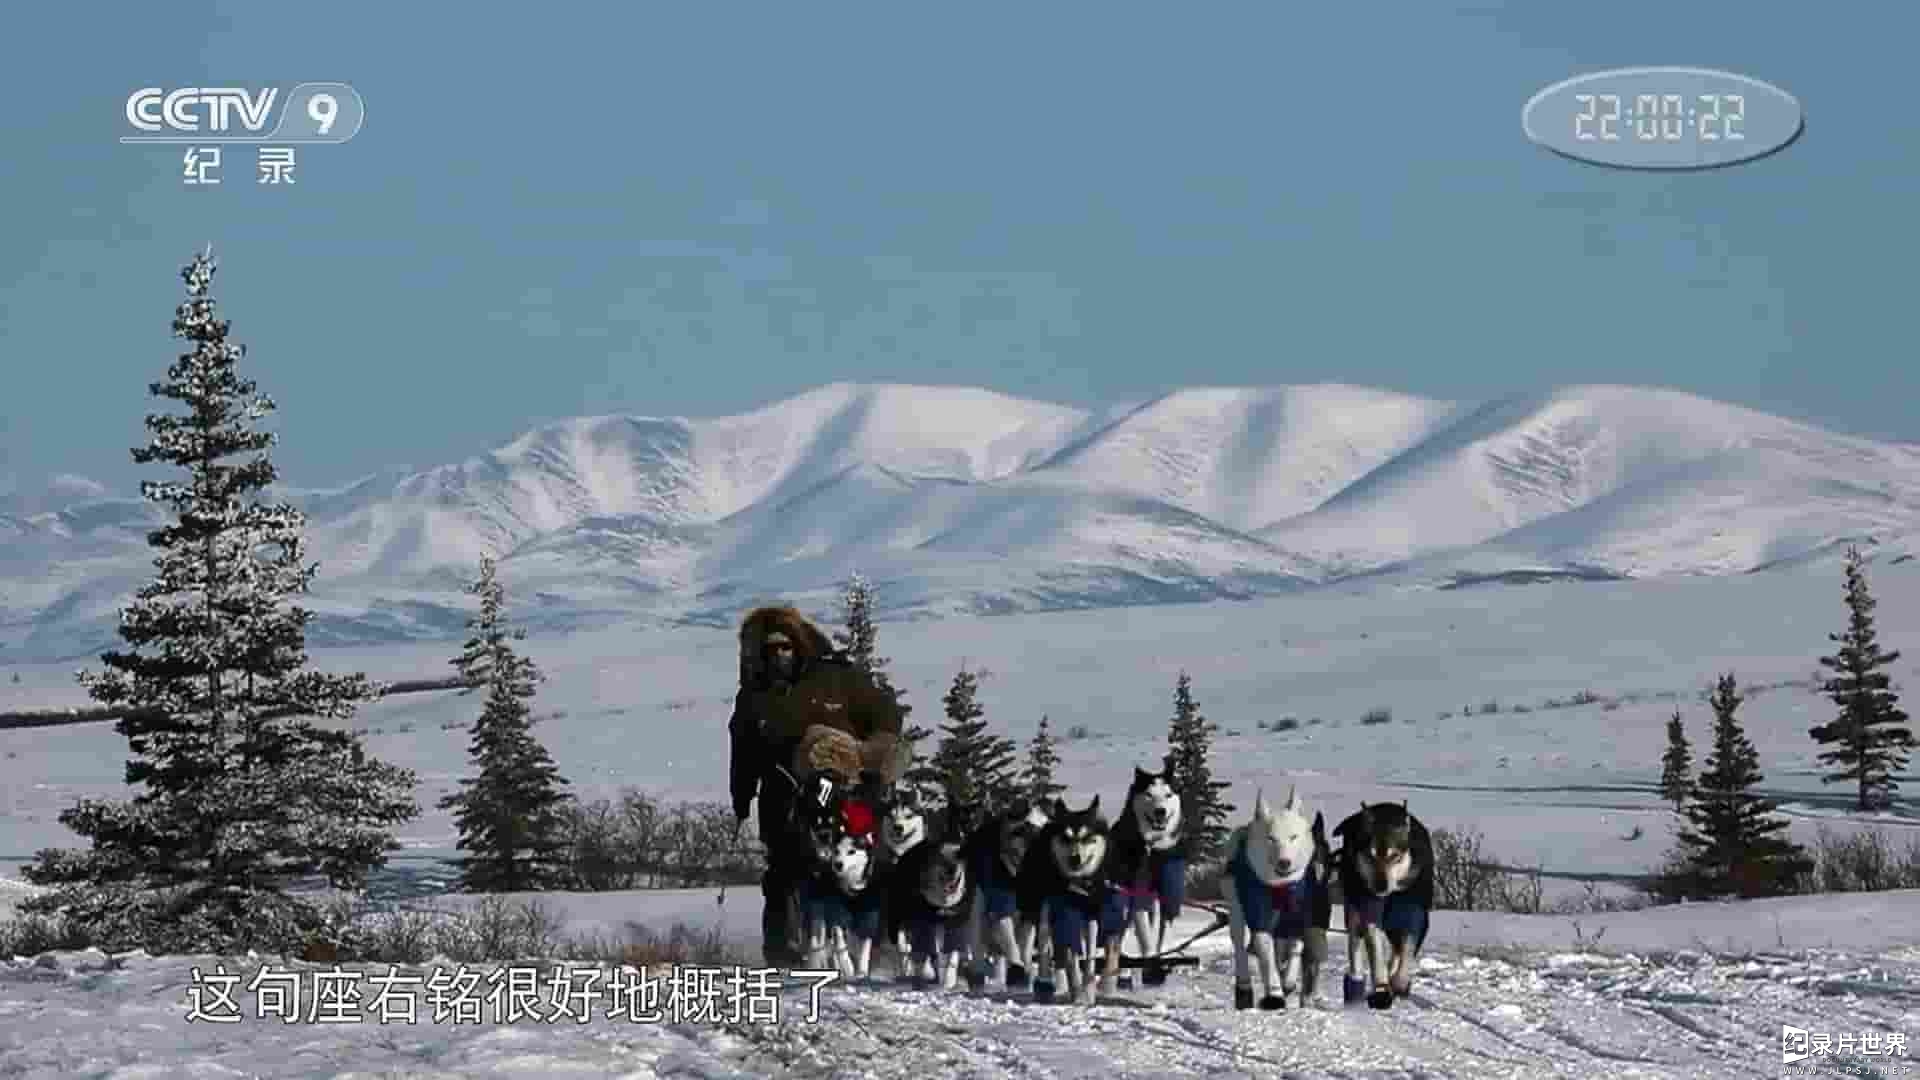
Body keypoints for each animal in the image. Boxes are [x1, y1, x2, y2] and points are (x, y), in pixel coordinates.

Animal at [887, 837, 975, 991]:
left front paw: (949, 980)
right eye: (940, 857)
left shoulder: (956, 922)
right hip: (896, 918)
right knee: (903, 946)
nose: (951, 870)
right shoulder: (923, 922)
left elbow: (952, 952)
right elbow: (924, 949)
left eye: (959, 856)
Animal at [960, 799, 1052, 983]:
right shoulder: (998, 900)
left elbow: (1024, 942)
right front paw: (1017, 968)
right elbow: (1009, 939)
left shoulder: (1031, 909)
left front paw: (1024, 968)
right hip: (978, 910)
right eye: (1024, 831)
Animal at [1013, 791, 1121, 999]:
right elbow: (1070, 956)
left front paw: (1087, 992)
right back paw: (1047, 982)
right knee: (1045, 943)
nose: (1075, 858)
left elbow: (1089, 956)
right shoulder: (1065, 914)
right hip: (1040, 908)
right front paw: (1077, 990)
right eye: (1065, 837)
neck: (1077, 885)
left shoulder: (1091, 914)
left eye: (1087, 837)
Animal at [1221, 787, 1328, 1006]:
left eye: (1293, 837)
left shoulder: (1298, 915)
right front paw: (1275, 989)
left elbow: (1296, 947)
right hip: (1236, 907)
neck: (1280, 887)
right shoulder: (1259, 915)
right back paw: (1244, 986)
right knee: (1240, 944)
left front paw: (1289, 980)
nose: (1284, 862)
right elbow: (1265, 951)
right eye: (1271, 838)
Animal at [1344, 795, 1436, 1006]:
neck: (1392, 894)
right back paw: (1356, 982)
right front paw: (1382, 988)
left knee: (1398, 948)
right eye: (1370, 855)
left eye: (1395, 856)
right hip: (1354, 910)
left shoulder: (1415, 914)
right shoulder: (1370, 913)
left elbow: (1408, 949)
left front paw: (1399, 982)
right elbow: (1375, 946)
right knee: (1355, 941)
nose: (1380, 887)